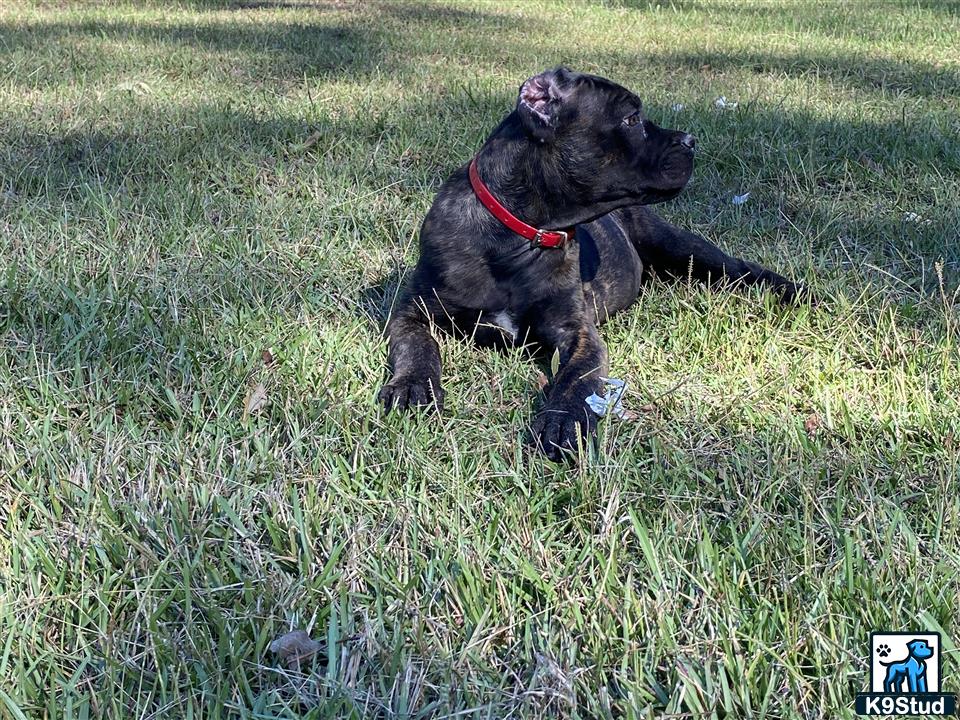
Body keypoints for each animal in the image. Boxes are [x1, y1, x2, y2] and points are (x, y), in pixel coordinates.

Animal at [378, 67, 800, 462]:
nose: (691, 141)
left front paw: (563, 420)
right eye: (632, 118)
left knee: (741, 269)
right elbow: (418, 346)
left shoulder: (577, 331)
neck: (515, 238)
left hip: (683, 246)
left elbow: (577, 378)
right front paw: (414, 385)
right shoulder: (413, 312)